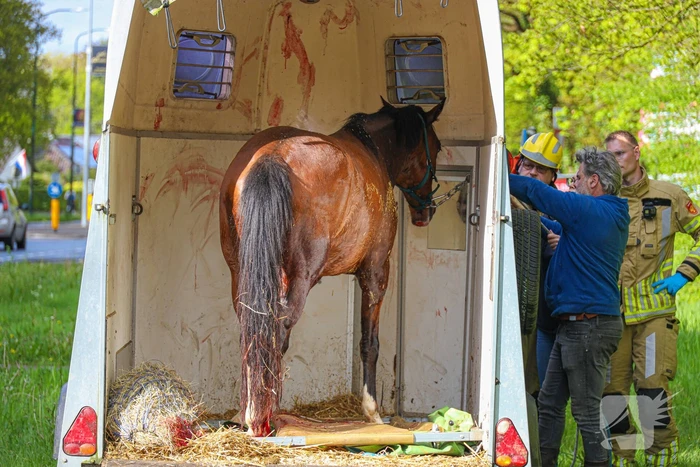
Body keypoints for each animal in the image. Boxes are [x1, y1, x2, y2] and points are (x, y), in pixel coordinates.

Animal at [219, 97, 445, 436]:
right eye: (437, 147)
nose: (425, 212)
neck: (374, 152)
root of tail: (272, 156)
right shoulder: (375, 273)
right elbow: (369, 343)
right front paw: (372, 412)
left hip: (242, 273)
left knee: (253, 329)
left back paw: (245, 412)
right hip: (300, 278)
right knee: (279, 330)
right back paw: (264, 415)